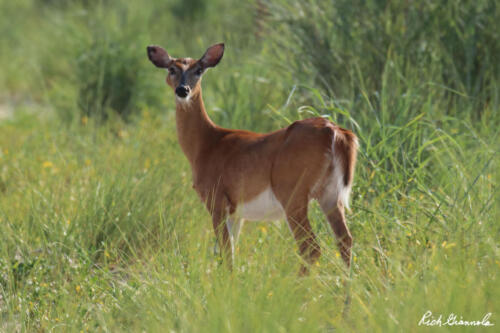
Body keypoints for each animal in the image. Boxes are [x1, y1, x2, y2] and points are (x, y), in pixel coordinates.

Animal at [146, 43, 358, 272]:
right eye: (172, 69)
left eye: (199, 70)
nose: (182, 90)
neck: (205, 145)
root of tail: (334, 132)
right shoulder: (236, 212)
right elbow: (227, 253)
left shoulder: (216, 199)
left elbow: (226, 253)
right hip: (331, 193)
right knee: (345, 240)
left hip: (292, 191)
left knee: (311, 247)